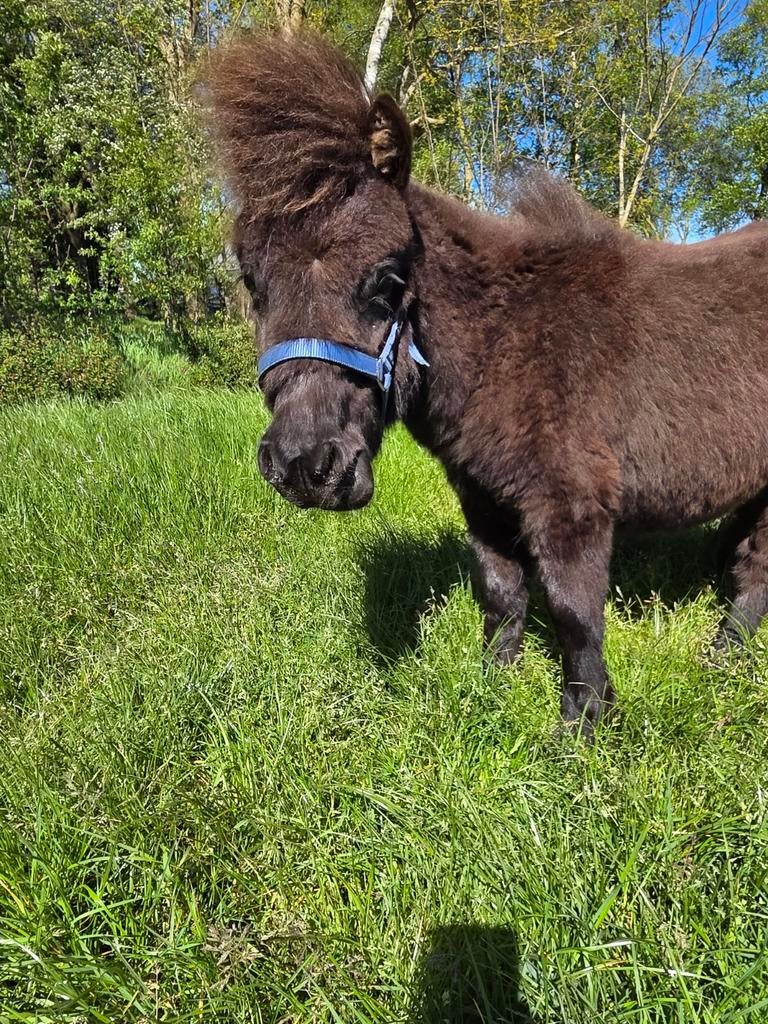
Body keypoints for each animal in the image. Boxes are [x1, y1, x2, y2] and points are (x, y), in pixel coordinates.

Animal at [205, 31, 768, 735]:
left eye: (387, 281)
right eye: (253, 284)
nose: (306, 467)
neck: (506, 343)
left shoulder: (570, 504)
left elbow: (575, 614)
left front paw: (583, 725)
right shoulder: (484, 496)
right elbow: (500, 592)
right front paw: (493, 686)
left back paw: (723, 661)